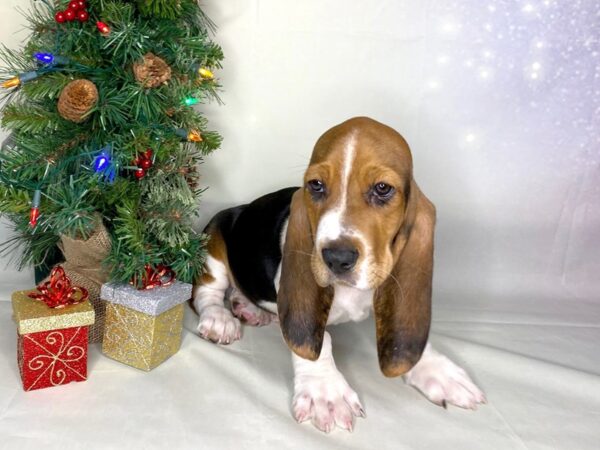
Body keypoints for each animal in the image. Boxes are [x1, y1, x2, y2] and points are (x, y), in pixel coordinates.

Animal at [195, 118, 486, 434]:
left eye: (382, 188)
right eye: (316, 185)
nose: (337, 258)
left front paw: (435, 369)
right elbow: (321, 342)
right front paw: (325, 392)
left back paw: (249, 307)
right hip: (213, 243)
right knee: (206, 293)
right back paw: (220, 319)